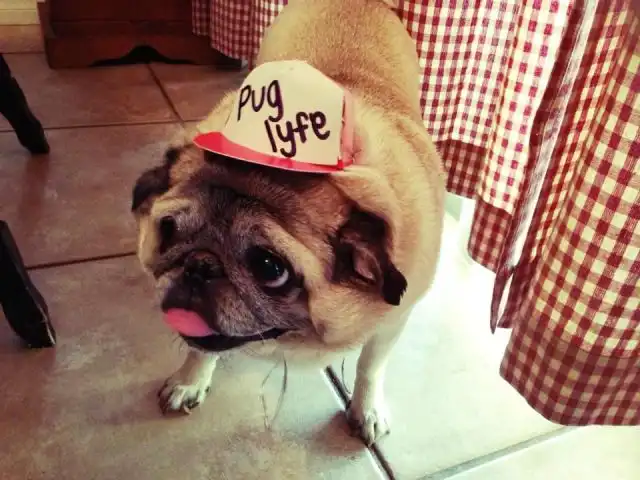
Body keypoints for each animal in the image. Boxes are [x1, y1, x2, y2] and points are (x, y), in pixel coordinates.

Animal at [131, 0, 445, 446]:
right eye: (169, 230)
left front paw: (365, 408)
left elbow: (369, 366)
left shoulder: (391, 323)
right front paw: (190, 380)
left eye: (269, 268)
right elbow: (199, 346)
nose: (199, 266)